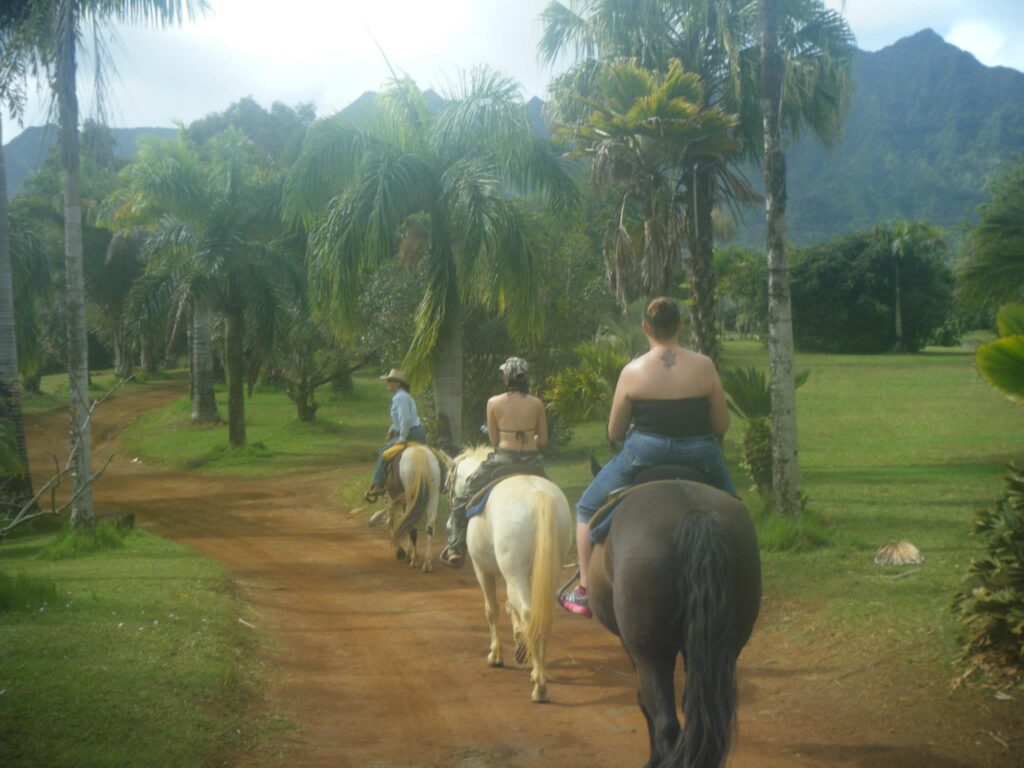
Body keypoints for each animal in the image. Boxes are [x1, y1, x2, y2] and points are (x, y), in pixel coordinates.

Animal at [385, 442, 444, 573]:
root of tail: (420, 455)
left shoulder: (393, 501)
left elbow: (392, 522)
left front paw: (403, 552)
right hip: (433, 495)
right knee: (429, 527)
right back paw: (427, 564)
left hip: (409, 497)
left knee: (411, 527)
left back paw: (413, 560)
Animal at [448, 444, 577, 704]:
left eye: (449, 486)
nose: (447, 523)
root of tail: (538, 496)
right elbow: (510, 606)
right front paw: (520, 644)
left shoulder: (482, 569)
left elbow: (493, 609)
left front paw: (496, 654)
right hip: (546, 569)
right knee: (542, 614)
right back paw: (537, 672)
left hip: (512, 570)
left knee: (527, 611)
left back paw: (539, 685)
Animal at [585, 466, 761, 765]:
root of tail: (696, 515)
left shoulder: (631, 646)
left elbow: (643, 702)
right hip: (726, 646)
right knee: (698, 714)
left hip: (652, 653)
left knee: (665, 720)